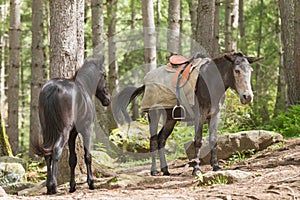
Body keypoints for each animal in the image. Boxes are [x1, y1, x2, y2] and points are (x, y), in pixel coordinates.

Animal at [33, 56, 110, 194]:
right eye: (104, 75)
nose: (108, 99)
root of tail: (53, 87)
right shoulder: (86, 130)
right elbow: (87, 156)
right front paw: (91, 182)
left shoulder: (73, 134)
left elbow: (73, 159)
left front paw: (72, 185)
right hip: (63, 132)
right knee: (56, 150)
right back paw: (53, 186)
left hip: (47, 131)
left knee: (47, 153)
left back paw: (48, 186)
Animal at [113, 52, 262, 176]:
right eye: (237, 71)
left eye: (250, 71)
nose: (247, 97)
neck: (210, 83)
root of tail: (146, 83)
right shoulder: (199, 116)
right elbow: (198, 141)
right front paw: (196, 169)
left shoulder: (214, 116)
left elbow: (213, 139)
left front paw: (215, 166)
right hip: (154, 115)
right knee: (154, 140)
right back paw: (154, 171)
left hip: (170, 119)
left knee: (161, 139)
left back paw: (165, 170)